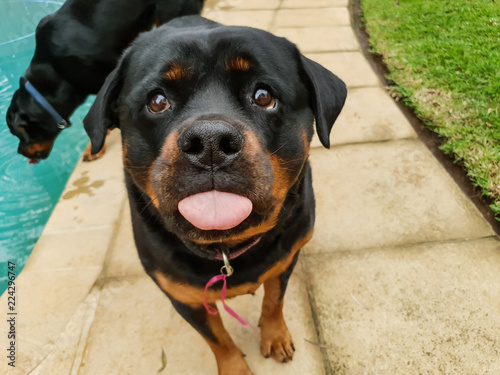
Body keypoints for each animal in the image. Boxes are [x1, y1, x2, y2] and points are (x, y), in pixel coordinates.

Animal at [84, 15, 346, 375]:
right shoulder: (184, 298)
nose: (210, 142)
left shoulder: (287, 258)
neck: (226, 247)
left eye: (263, 96)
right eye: (157, 101)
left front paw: (275, 335)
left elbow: (273, 300)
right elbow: (218, 340)